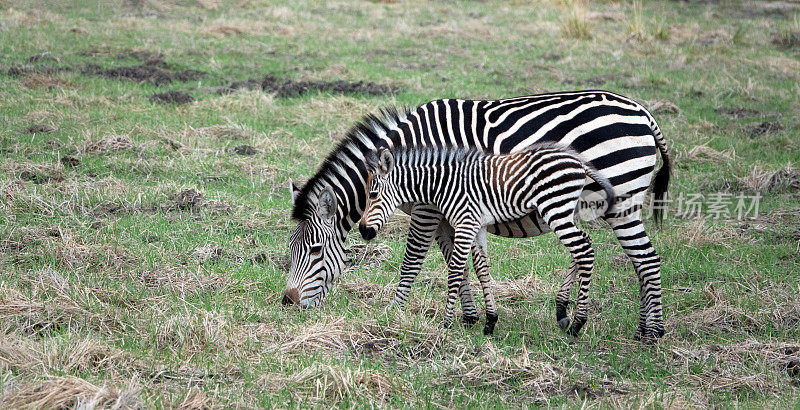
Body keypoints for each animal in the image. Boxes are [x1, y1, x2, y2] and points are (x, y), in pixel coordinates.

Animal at [360, 144, 616, 336]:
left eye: (373, 195)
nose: (363, 231)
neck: (444, 185)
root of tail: (578, 162)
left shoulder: (465, 223)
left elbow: (455, 270)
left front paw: (446, 323)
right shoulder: (478, 225)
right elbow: (482, 269)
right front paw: (490, 321)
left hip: (554, 208)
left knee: (583, 250)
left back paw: (578, 323)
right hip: (565, 211)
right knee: (584, 244)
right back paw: (564, 314)